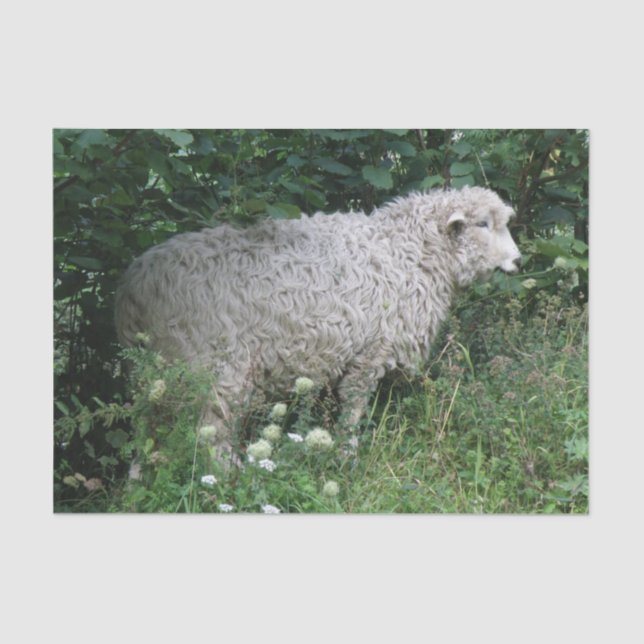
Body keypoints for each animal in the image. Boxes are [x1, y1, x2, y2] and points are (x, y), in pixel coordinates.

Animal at [115, 186, 521, 463]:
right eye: (483, 224)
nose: (518, 261)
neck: (410, 251)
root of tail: (134, 287)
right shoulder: (371, 351)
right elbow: (353, 408)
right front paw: (347, 456)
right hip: (214, 365)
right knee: (210, 432)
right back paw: (230, 478)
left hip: (153, 373)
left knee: (144, 429)